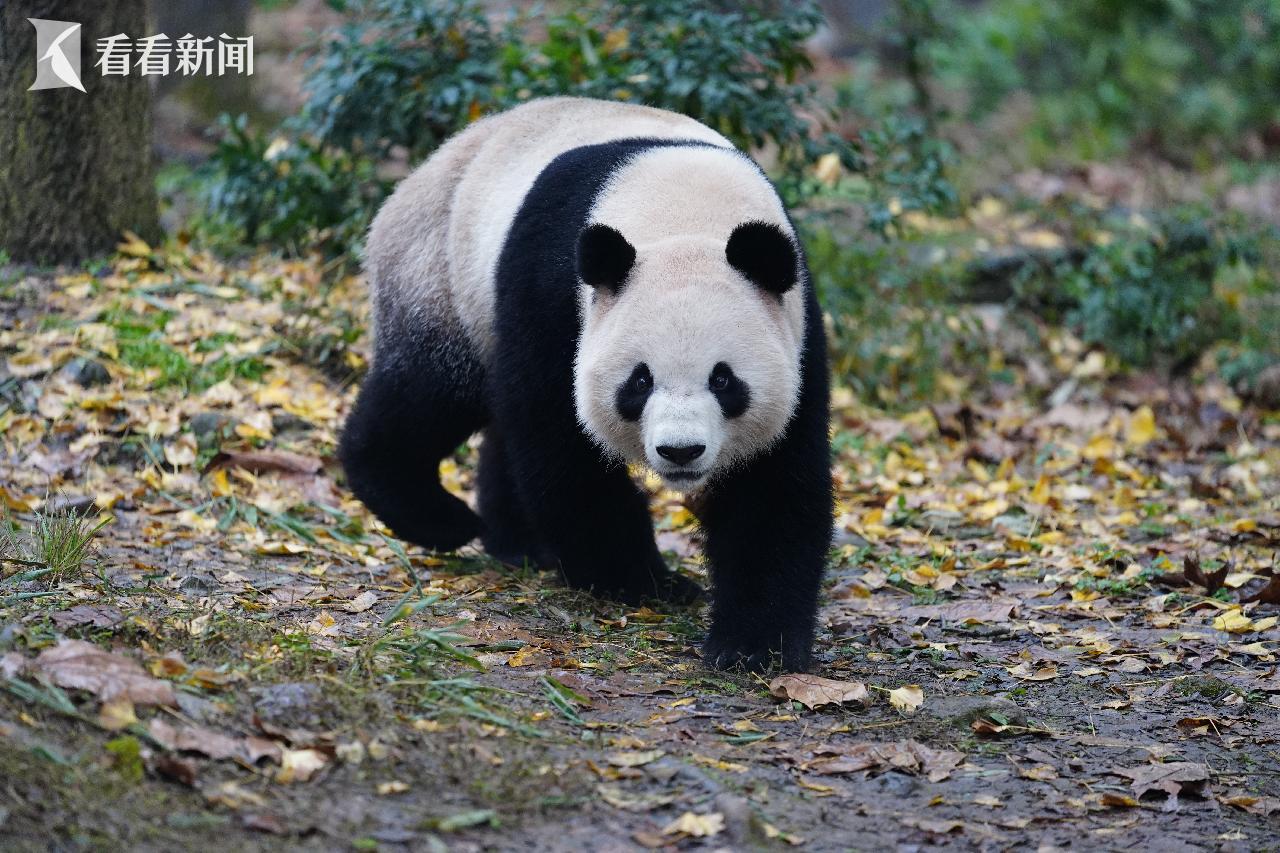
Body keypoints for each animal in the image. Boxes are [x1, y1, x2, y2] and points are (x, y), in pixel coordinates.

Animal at [340, 97, 834, 671]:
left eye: (724, 380)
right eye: (639, 381)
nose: (681, 451)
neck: (684, 214)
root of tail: (421, 171)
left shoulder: (796, 325)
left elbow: (774, 483)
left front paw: (755, 645)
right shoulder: (555, 289)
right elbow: (561, 442)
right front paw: (644, 581)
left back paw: (519, 541)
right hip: (440, 274)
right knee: (430, 394)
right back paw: (435, 515)